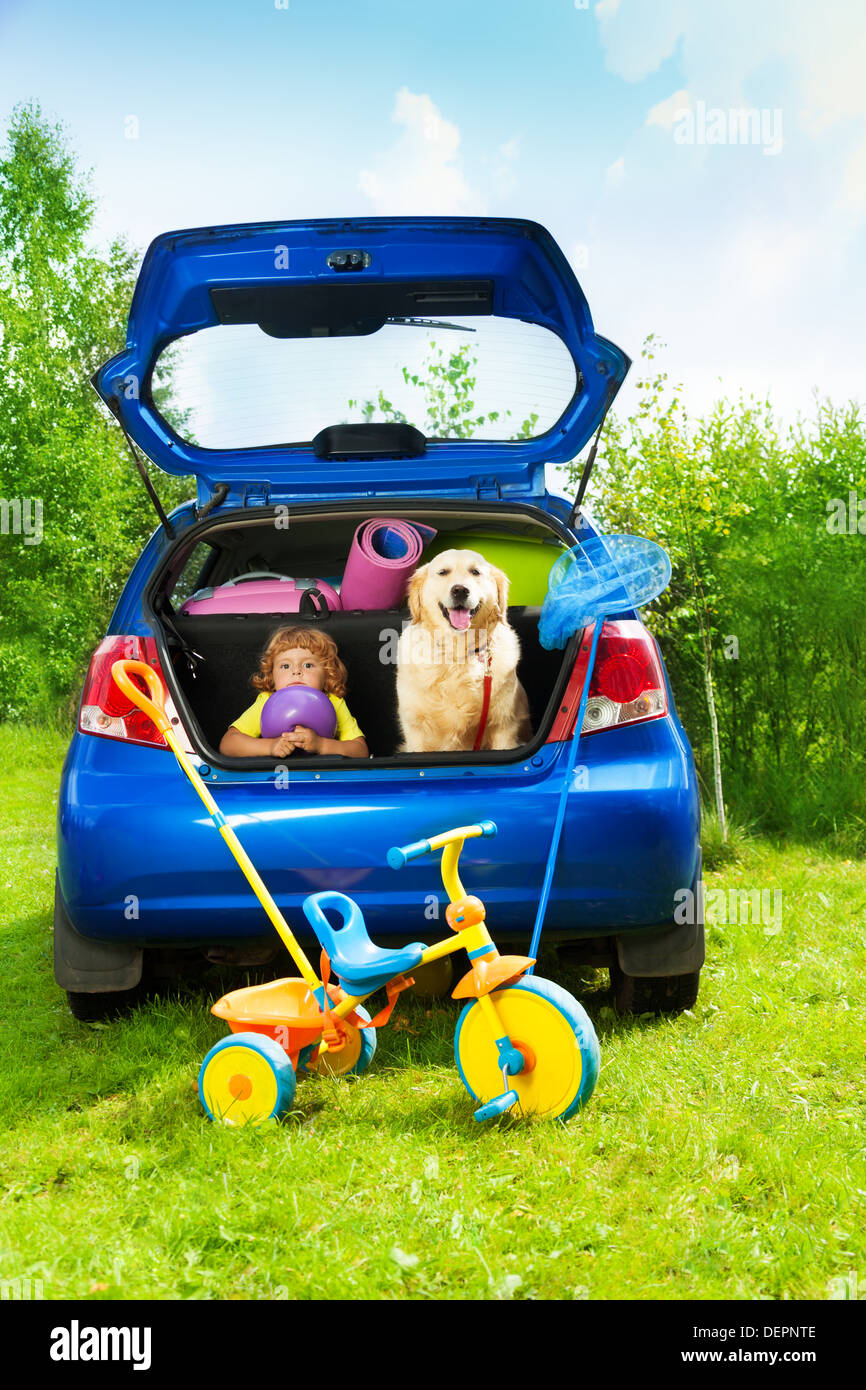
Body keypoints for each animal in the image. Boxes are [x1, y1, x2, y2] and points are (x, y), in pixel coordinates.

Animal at [397, 547, 530, 756]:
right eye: (443, 572)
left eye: (475, 572)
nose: (460, 590)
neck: (457, 654)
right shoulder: (416, 730)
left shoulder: (504, 726)